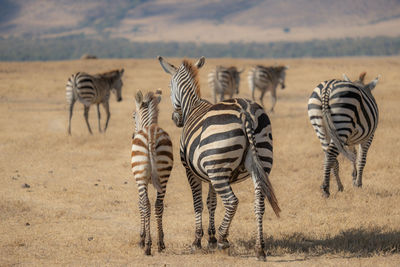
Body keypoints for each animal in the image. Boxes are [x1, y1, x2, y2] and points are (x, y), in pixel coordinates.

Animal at [130, 89, 173, 255]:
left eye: (133, 116)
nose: (132, 136)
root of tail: (151, 134)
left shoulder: (139, 181)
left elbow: (140, 204)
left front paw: (142, 238)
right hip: (164, 176)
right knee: (158, 205)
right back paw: (160, 243)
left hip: (141, 176)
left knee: (146, 205)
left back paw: (147, 245)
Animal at [158, 55, 280, 262]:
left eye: (169, 86)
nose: (176, 119)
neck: (192, 106)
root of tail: (245, 111)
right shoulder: (208, 174)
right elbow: (211, 203)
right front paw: (212, 238)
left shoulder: (192, 171)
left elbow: (198, 203)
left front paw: (199, 241)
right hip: (260, 163)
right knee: (259, 203)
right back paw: (259, 249)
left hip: (218, 169)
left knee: (232, 201)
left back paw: (224, 239)